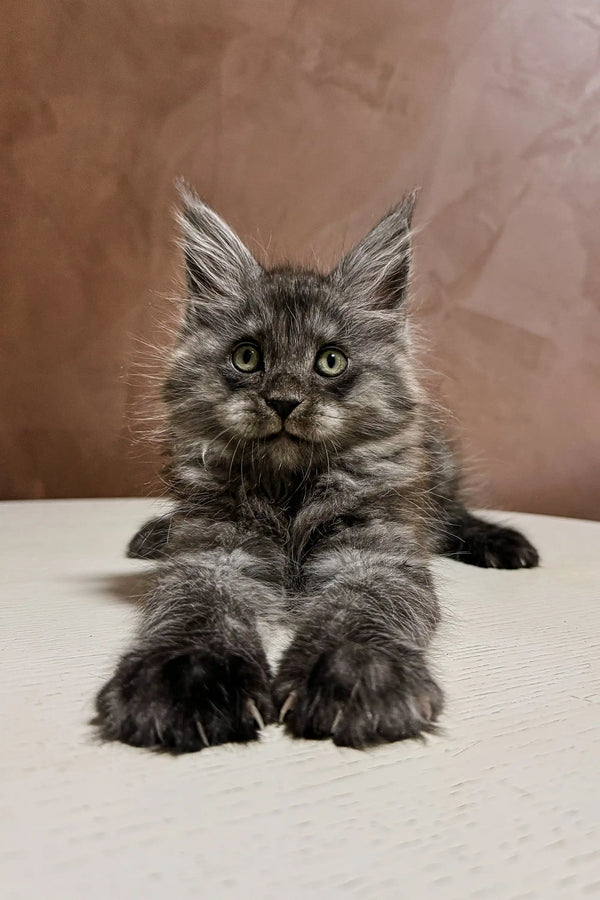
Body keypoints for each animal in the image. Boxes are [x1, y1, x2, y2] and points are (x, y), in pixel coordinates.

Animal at [95, 186, 540, 756]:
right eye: (247, 357)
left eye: (331, 361)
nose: (284, 401)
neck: (290, 495)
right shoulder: (213, 555)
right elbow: (195, 609)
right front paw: (188, 675)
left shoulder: (374, 553)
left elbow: (357, 609)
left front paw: (355, 674)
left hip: (437, 468)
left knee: (452, 516)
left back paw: (502, 543)